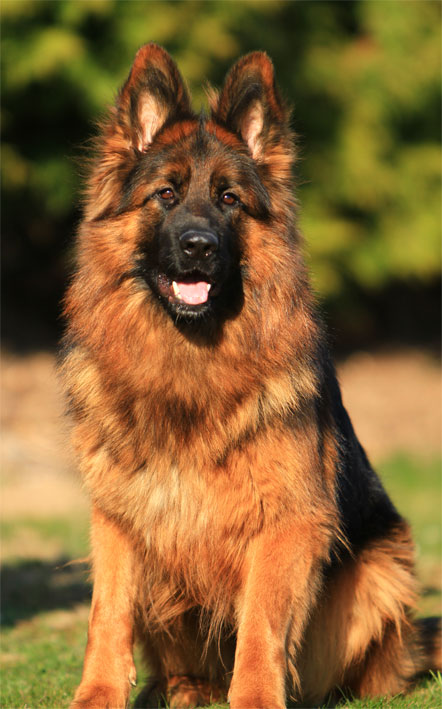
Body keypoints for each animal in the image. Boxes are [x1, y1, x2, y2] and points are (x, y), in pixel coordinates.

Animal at [61, 44, 441, 708]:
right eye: (165, 194)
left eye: (230, 200)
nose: (198, 246)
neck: (190, 361)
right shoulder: (119, 516)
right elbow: (106, 612)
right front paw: (98, 695)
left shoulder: (285, 523)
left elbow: (261, 626)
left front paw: (257, 698)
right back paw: (185, 690)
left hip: (378, 572)